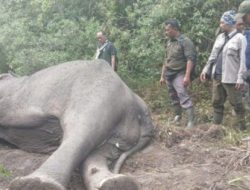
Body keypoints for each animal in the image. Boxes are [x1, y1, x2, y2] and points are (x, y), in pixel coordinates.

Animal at [0, 60, 154, 190]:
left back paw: (35, 184)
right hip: (124, 129)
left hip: (95, 92)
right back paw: (115, 183)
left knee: (81, 130)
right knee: (102, 149)